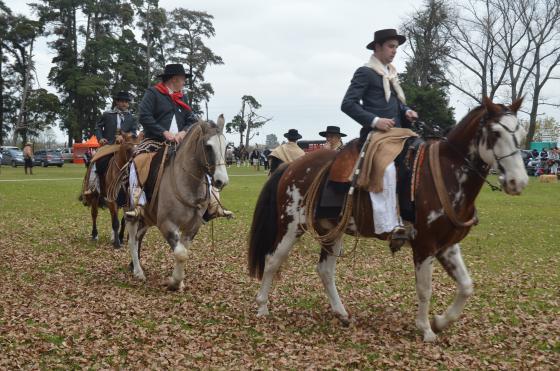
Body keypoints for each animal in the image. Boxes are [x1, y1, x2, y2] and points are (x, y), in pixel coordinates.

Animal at [249, 98, 528, 342]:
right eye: (495, 133)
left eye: (522, 133)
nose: (519, 182)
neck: (445, 173)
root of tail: (291, 166)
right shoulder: (424, 246)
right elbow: (425, 289)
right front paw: (426, 329)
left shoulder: (447, 246)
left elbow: (466, 286)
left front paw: (440, 321)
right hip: (291, 226)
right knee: (272, 260)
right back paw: (262, 307)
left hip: (332, 231)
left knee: (325, 270)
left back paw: (341, 313)